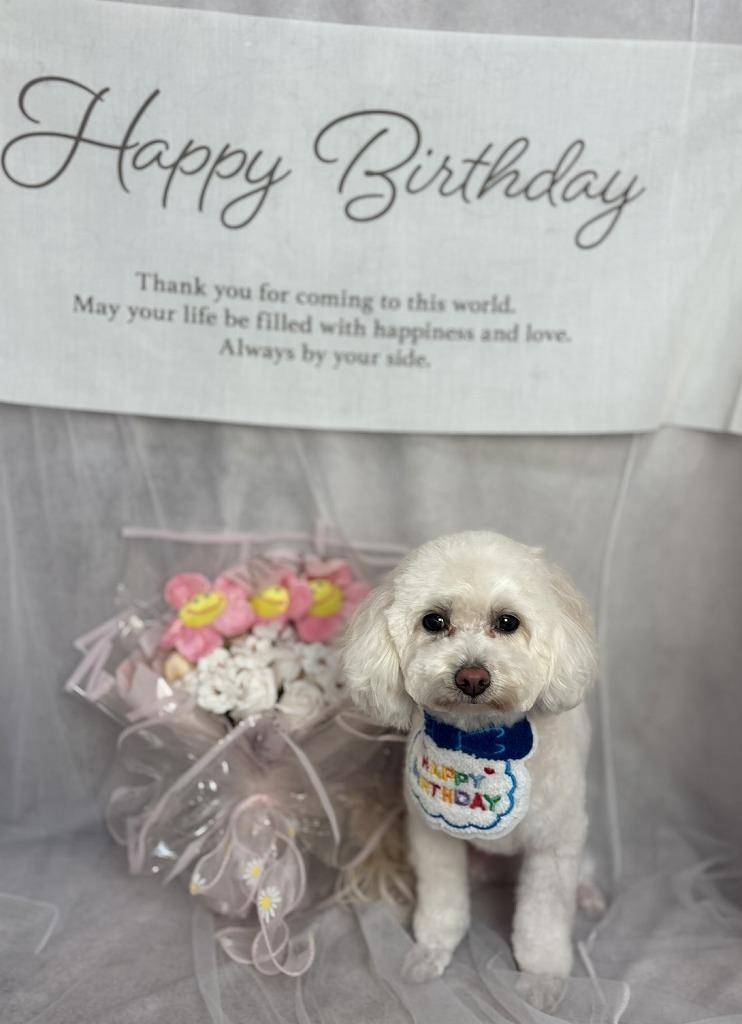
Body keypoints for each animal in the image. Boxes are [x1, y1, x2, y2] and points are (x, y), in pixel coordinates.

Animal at [340, 531, 598, 1010]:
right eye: (434, 621)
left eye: (508, 622)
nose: (472, 676)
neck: (480, 740)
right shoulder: (433, 836)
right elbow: (443, 901)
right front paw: (431, 950)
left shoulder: (553, 846)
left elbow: (545, 921)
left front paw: (542, 978)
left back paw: (588, 893)